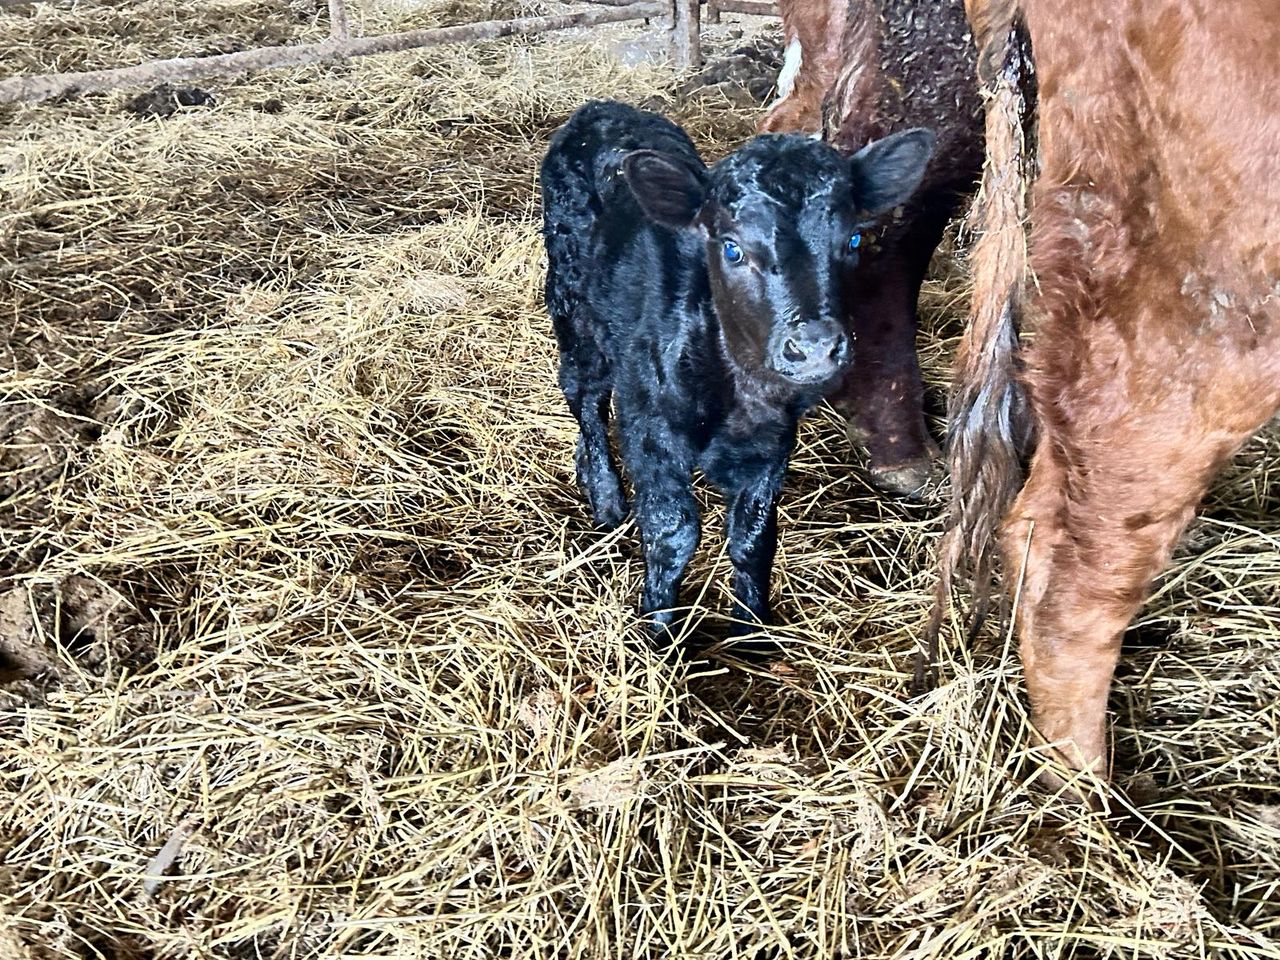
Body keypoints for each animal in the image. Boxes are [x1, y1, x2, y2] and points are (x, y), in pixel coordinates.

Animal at [541, 100, 934, 646]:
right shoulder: (650, 427)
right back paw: (604, 498)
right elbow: (673, 531)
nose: (814, 348)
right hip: (574, 308)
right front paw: (656, 632)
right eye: (731, 249)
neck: (740, 393)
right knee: (585, 398)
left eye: (853, 239)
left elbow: (754, 537)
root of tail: (598, 108)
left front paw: (752, 634)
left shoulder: (772, 444)